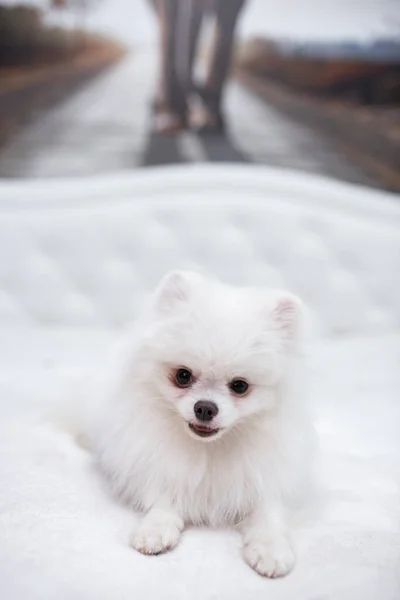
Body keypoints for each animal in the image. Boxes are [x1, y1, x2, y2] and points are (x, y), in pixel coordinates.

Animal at [90, 270, 316, 576]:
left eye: (240, 386)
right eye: (182, 376)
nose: (205, 407)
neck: (209, 448)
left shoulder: (265, 478)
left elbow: (268, 513)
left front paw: (271, 549)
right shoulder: (160, 466)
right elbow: (164, 499)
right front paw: (156, 528)